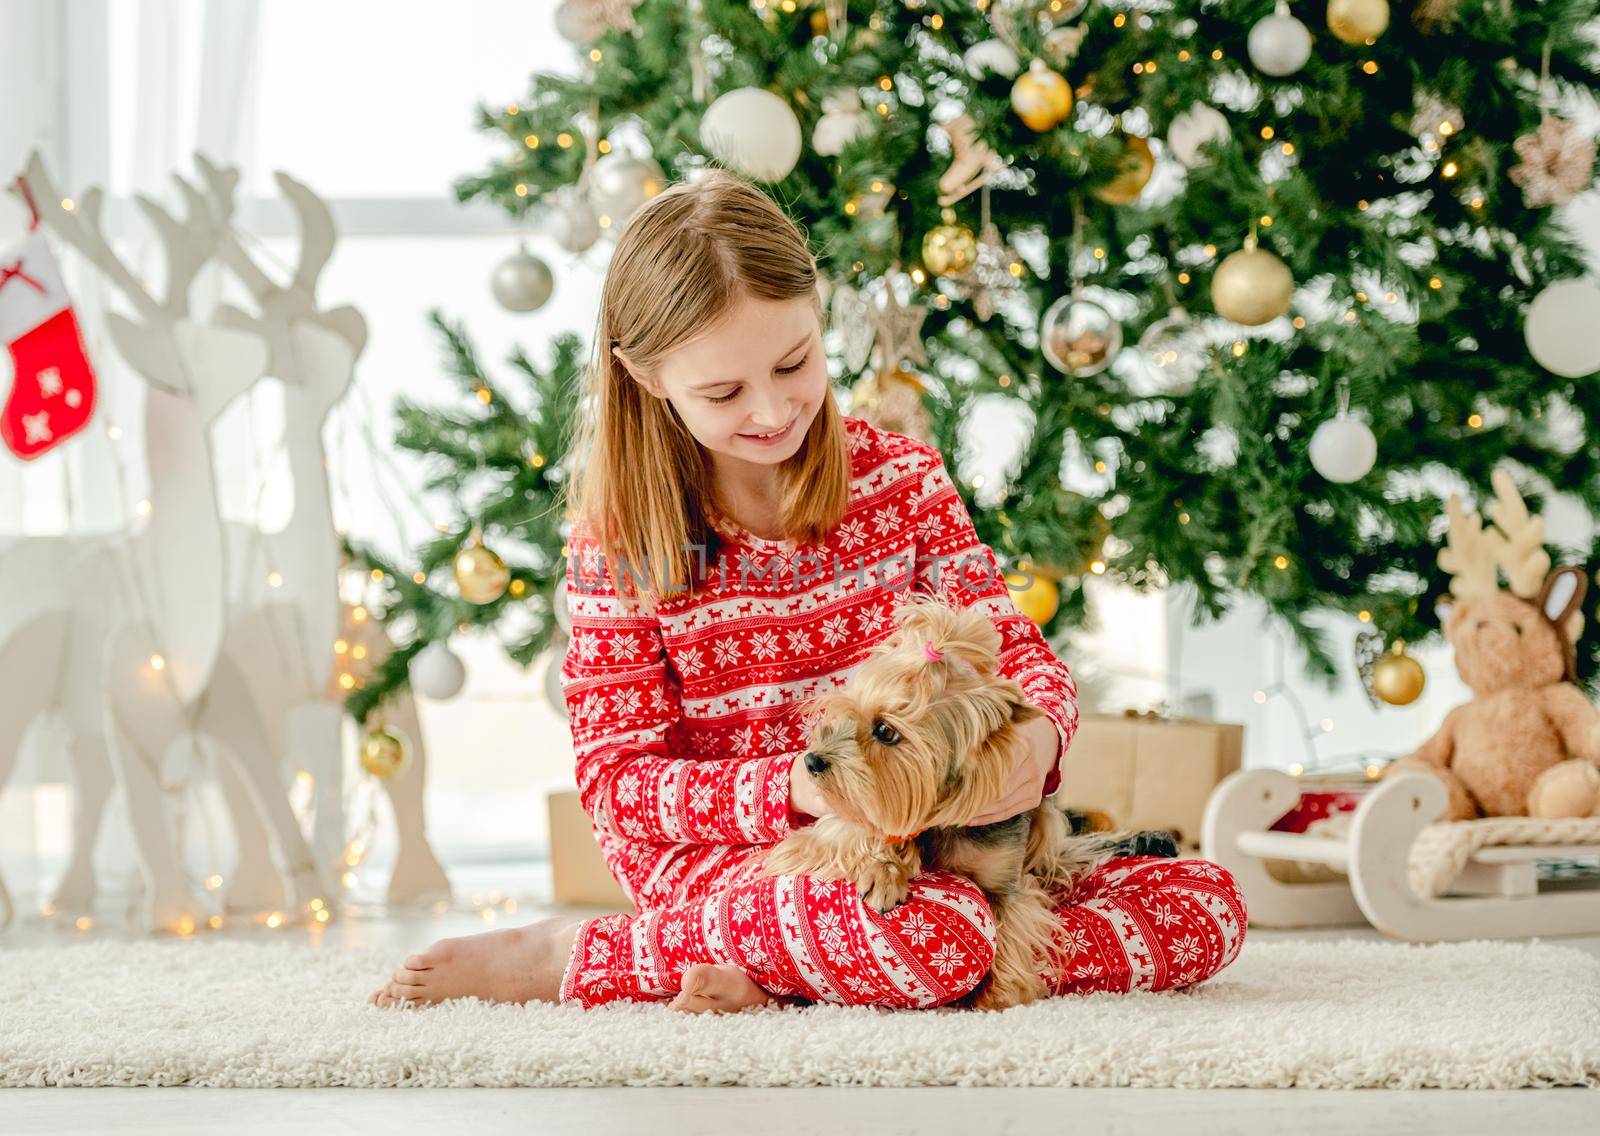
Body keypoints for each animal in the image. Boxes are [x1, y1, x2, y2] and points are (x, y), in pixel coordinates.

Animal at [755, 595, 1171, 1017]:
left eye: (885, 731)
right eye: (846, 714)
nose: (811, 761)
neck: (938, 819)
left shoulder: (1005, 879)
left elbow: (1010, 922)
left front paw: (997, 996)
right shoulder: (843, 818)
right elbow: (843, 833)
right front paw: (885, 870)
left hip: (1046, 820)